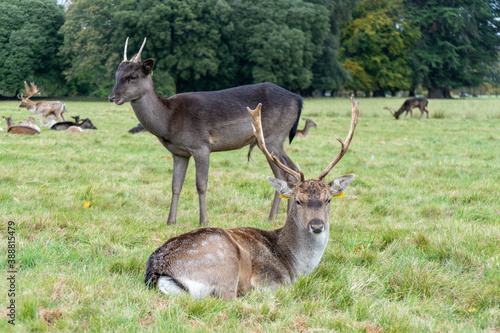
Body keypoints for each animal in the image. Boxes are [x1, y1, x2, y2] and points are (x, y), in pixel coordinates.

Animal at [109, 38, 300, 226]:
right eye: (116, 76)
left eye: (133, 77)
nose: (112, 97)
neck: (168, 121)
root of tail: (298, 98)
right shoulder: (179, 153)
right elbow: (175, 185)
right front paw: (171, 221)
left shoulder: (201, 146)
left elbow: (201, 184)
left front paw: (203, 221)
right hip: (274, 141)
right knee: (289, 174)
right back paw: (282, 217)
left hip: (272, 138)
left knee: (285, 175)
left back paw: (276, 218)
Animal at [144, 96, 360, 298]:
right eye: (298, 201)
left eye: (328, 199)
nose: (316, 226)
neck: (295, 266)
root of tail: (157, 272)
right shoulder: (269, 277)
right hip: (225, 265)